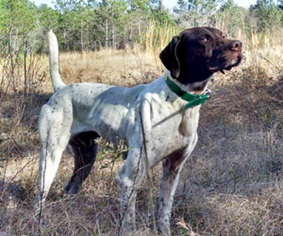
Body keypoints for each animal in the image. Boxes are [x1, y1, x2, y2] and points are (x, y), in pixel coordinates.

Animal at [37, 28, 242, 236]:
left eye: (222, 35)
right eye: (204, 38)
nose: (238, 45)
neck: (179, 103)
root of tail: (62, 89)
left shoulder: (173, 169)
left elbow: (164, 213)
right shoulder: (128, 178)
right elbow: (129, 222)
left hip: (86, 158)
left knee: (70, 187)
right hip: (50, 156)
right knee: (40, 197)